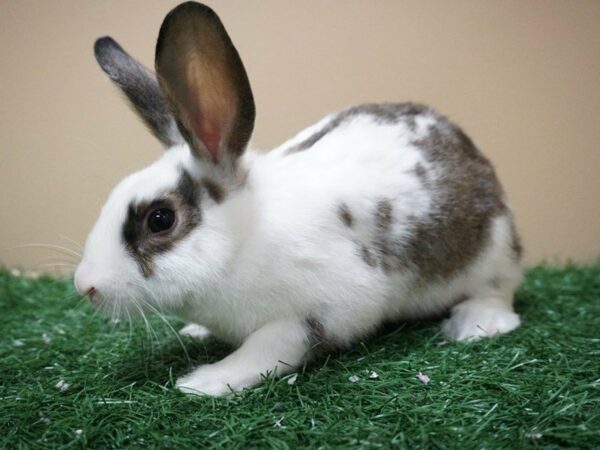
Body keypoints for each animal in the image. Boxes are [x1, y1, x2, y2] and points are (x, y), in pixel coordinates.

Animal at [75, 1, 524, 396]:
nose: (85, 286)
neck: (243, 241)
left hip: (492, 255)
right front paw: (199, 339)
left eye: (161, 219)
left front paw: (205, 382)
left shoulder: (325, 308)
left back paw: (476, 325)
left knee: (498, 291)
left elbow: (270, 347)